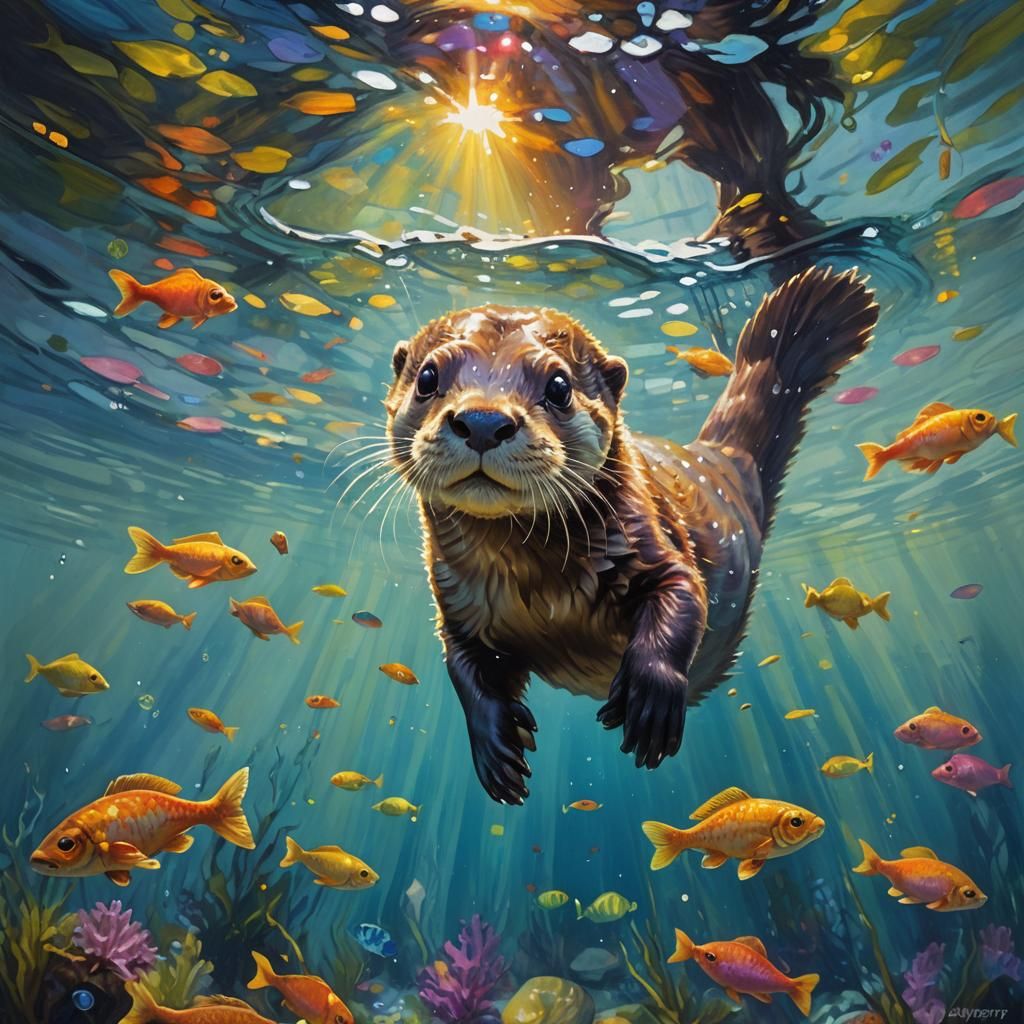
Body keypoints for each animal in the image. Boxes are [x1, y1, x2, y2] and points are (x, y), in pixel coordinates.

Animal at [384, 267, 878, 803]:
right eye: (428, 378)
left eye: (559, 386)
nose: (482, 420)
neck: (536, 589)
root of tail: (724, 456)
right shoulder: (455, 606)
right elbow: (463, 667)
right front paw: (497, 750)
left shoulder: (652, 542)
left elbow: (683, 597)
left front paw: (651, 705)